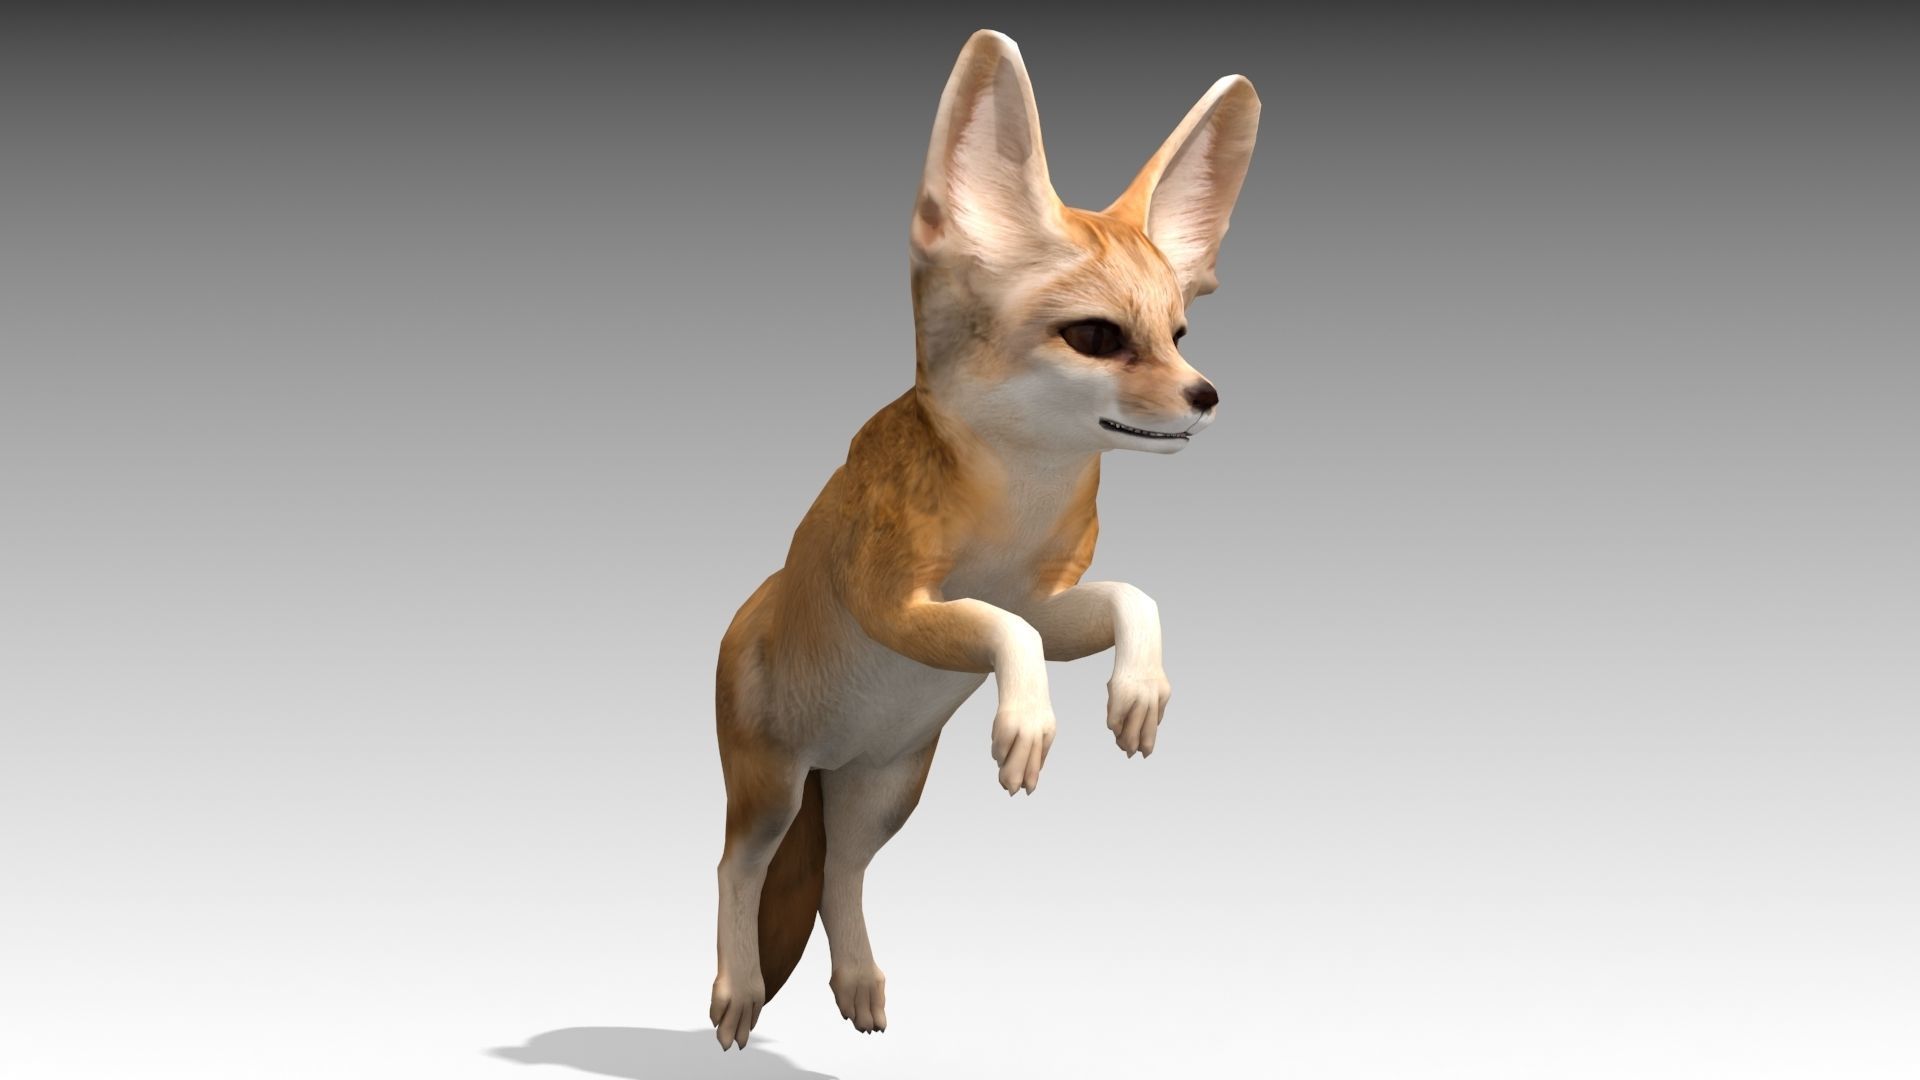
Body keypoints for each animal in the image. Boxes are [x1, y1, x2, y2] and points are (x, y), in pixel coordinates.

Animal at [708, 29, 1259, 1050]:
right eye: (1097, 337)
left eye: (1179, 331)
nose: (1206, 395)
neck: (1010, 509)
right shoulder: (900, 604)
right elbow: (1010, 638)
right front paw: (1028, 720)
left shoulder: (1046, 599)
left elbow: (1126, 600)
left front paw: (1138, 690)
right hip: (772, 791)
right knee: (739, 869)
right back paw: (735, 991)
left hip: (884, 793)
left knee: (839, 874)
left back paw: (858, 982)